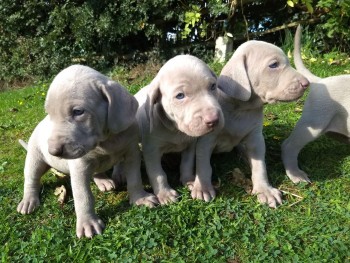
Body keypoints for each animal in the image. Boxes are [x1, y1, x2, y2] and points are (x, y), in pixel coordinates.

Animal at [134, 54, 224, 205]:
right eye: (180, 96)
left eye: (212, 86)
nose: (214, 119)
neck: (175, 130)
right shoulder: (151, 150)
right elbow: (158, 173)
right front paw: (165, 194)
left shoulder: (191, 144)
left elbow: (186, 164)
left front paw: (188, 180)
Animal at [194, 40, 308, 207]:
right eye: (274, 65)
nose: (307, 83)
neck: (241, 110)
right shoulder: (206, 140)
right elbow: (203, 165)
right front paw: (202, 188)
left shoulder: (256, 139)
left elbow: (260, 166)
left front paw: (265, 190)